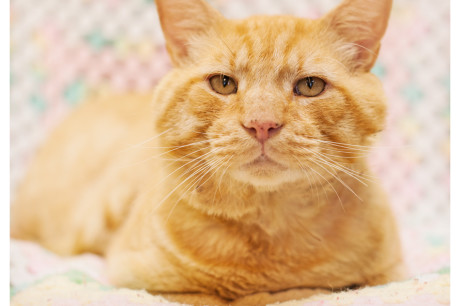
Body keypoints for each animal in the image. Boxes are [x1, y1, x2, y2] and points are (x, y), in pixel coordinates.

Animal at [11, 0, 406, 304]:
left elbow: (309, 289)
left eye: (310, 86)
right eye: (223, 83)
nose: (262, 124)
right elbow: (221, 295)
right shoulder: (142, 280)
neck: (267, 228)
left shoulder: (390, 274)